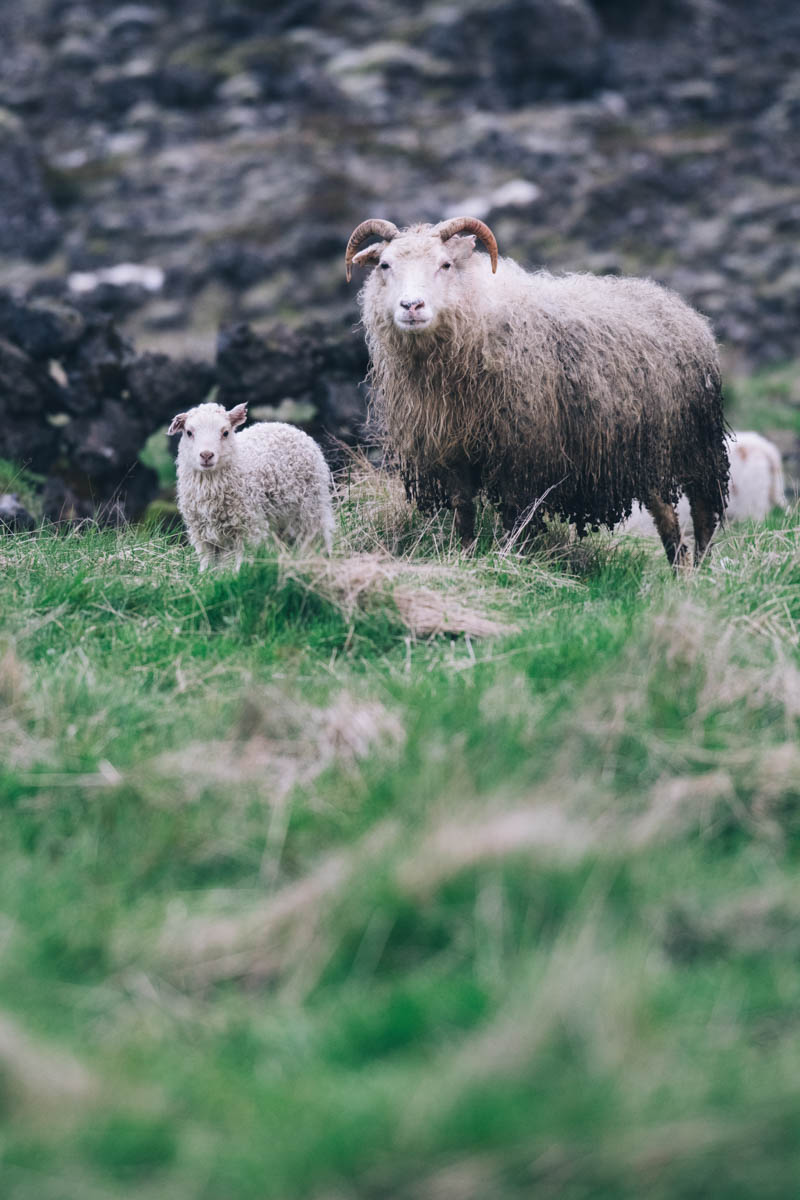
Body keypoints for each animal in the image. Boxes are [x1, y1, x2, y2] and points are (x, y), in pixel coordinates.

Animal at [167, 400, 333, 568]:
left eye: (225, 432)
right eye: (189, 432)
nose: (206, 455)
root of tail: (286, 427)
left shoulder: (249, 527)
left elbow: (243, 562)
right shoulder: (202, 534)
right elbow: (209, 564)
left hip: (310, 508)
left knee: (315, 538)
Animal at [345, 217, 734, 566]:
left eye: (445, 264)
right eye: (384, 265)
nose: (411, 306)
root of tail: (680, 307)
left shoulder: (520, 451)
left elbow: (515, 516)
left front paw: (510, 560)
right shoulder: (451, 448)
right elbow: (463, 509)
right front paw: (464, 557)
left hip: (691, 444)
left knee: (699, 512)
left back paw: (698, 572)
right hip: (649, 449)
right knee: (668, 515)